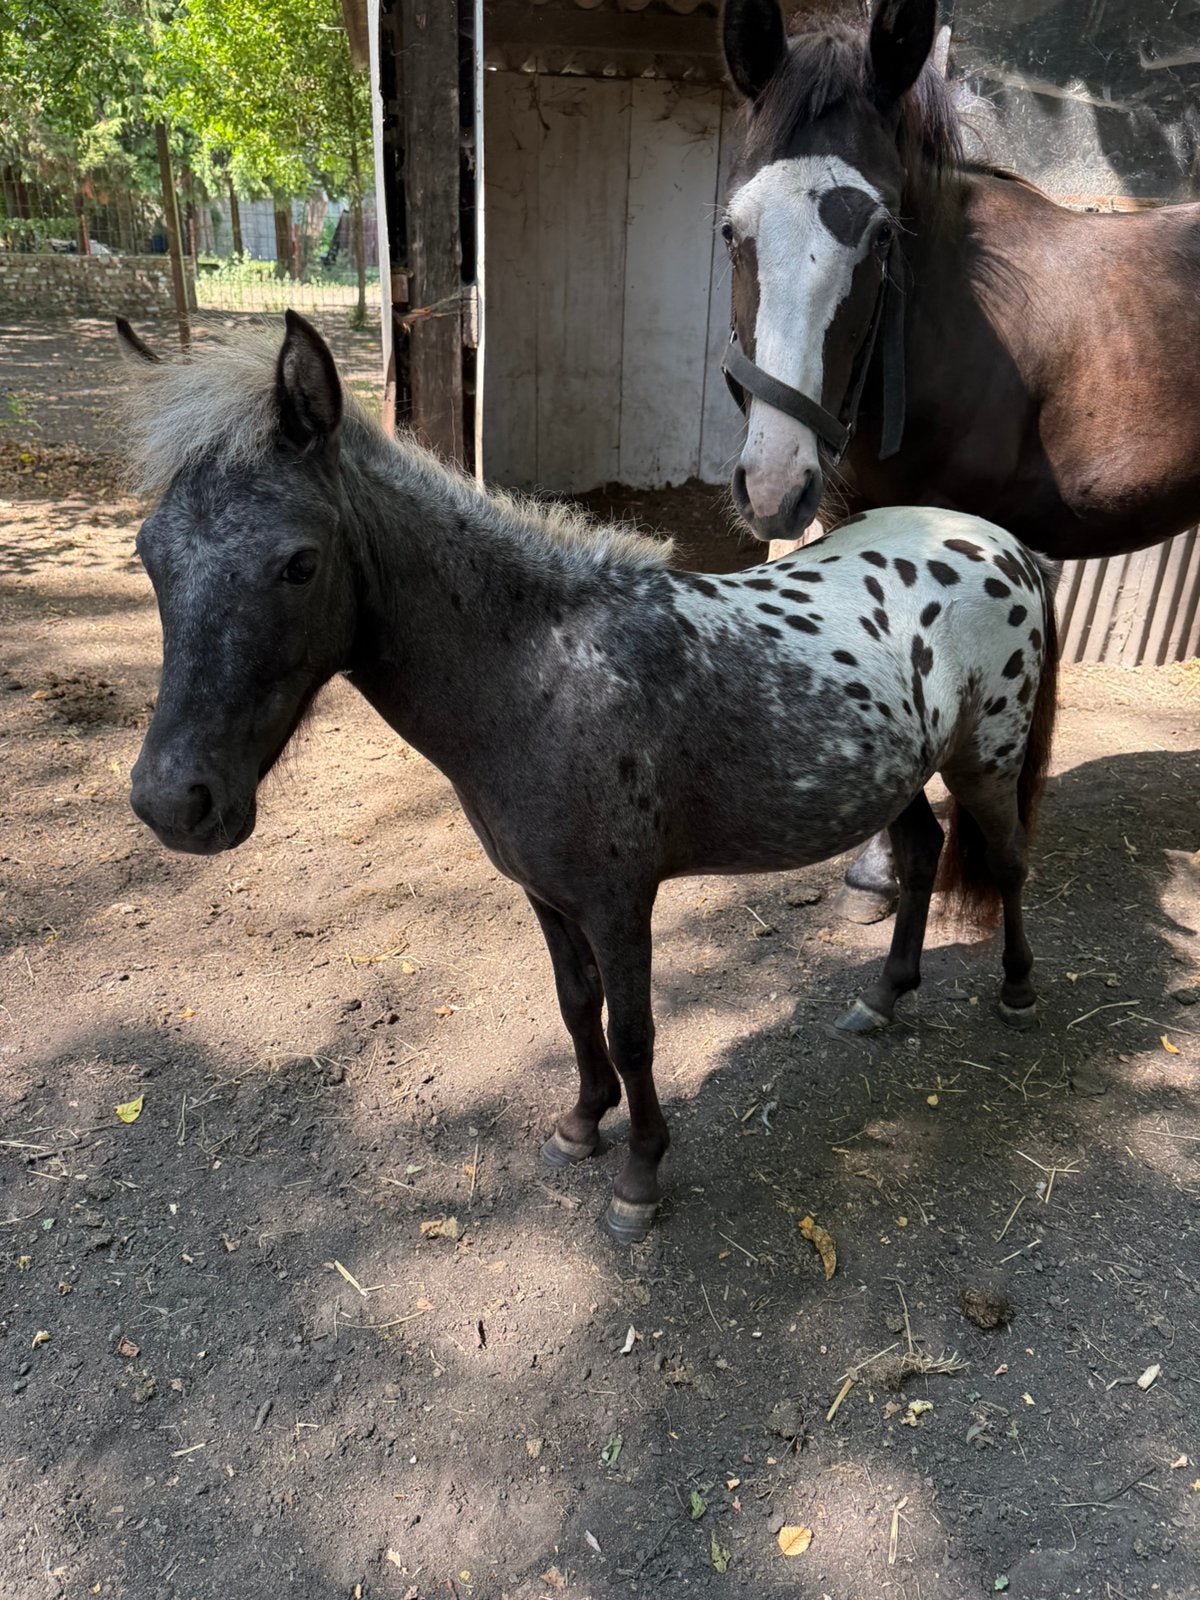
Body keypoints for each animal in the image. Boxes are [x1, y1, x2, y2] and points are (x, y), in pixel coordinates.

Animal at [118, 311, 1057, 1244]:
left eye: (300, 563)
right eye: (150, 557)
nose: (174, 803)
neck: (545, 674)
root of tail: (1002, 544)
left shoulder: (618, 903)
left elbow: (634, 1030)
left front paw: (640, 1176)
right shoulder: (546, 894)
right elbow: (577, 1007)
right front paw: (580, 1125)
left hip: (985, 762)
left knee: (1008, 862)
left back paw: (1017, 990)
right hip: (898, 777)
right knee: (924, 852)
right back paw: (885, 998)